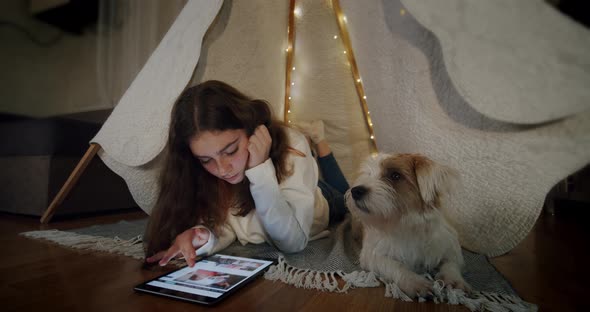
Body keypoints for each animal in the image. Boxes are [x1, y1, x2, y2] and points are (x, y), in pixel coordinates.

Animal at [346, 153, 472, 298]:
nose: (355, 191)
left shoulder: (449, 247)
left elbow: (451, 263)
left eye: (395, 175)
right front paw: (414, 282)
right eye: (368, 174)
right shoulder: (372, 255)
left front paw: (456, 281)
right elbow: (395, 265)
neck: (406, 224)